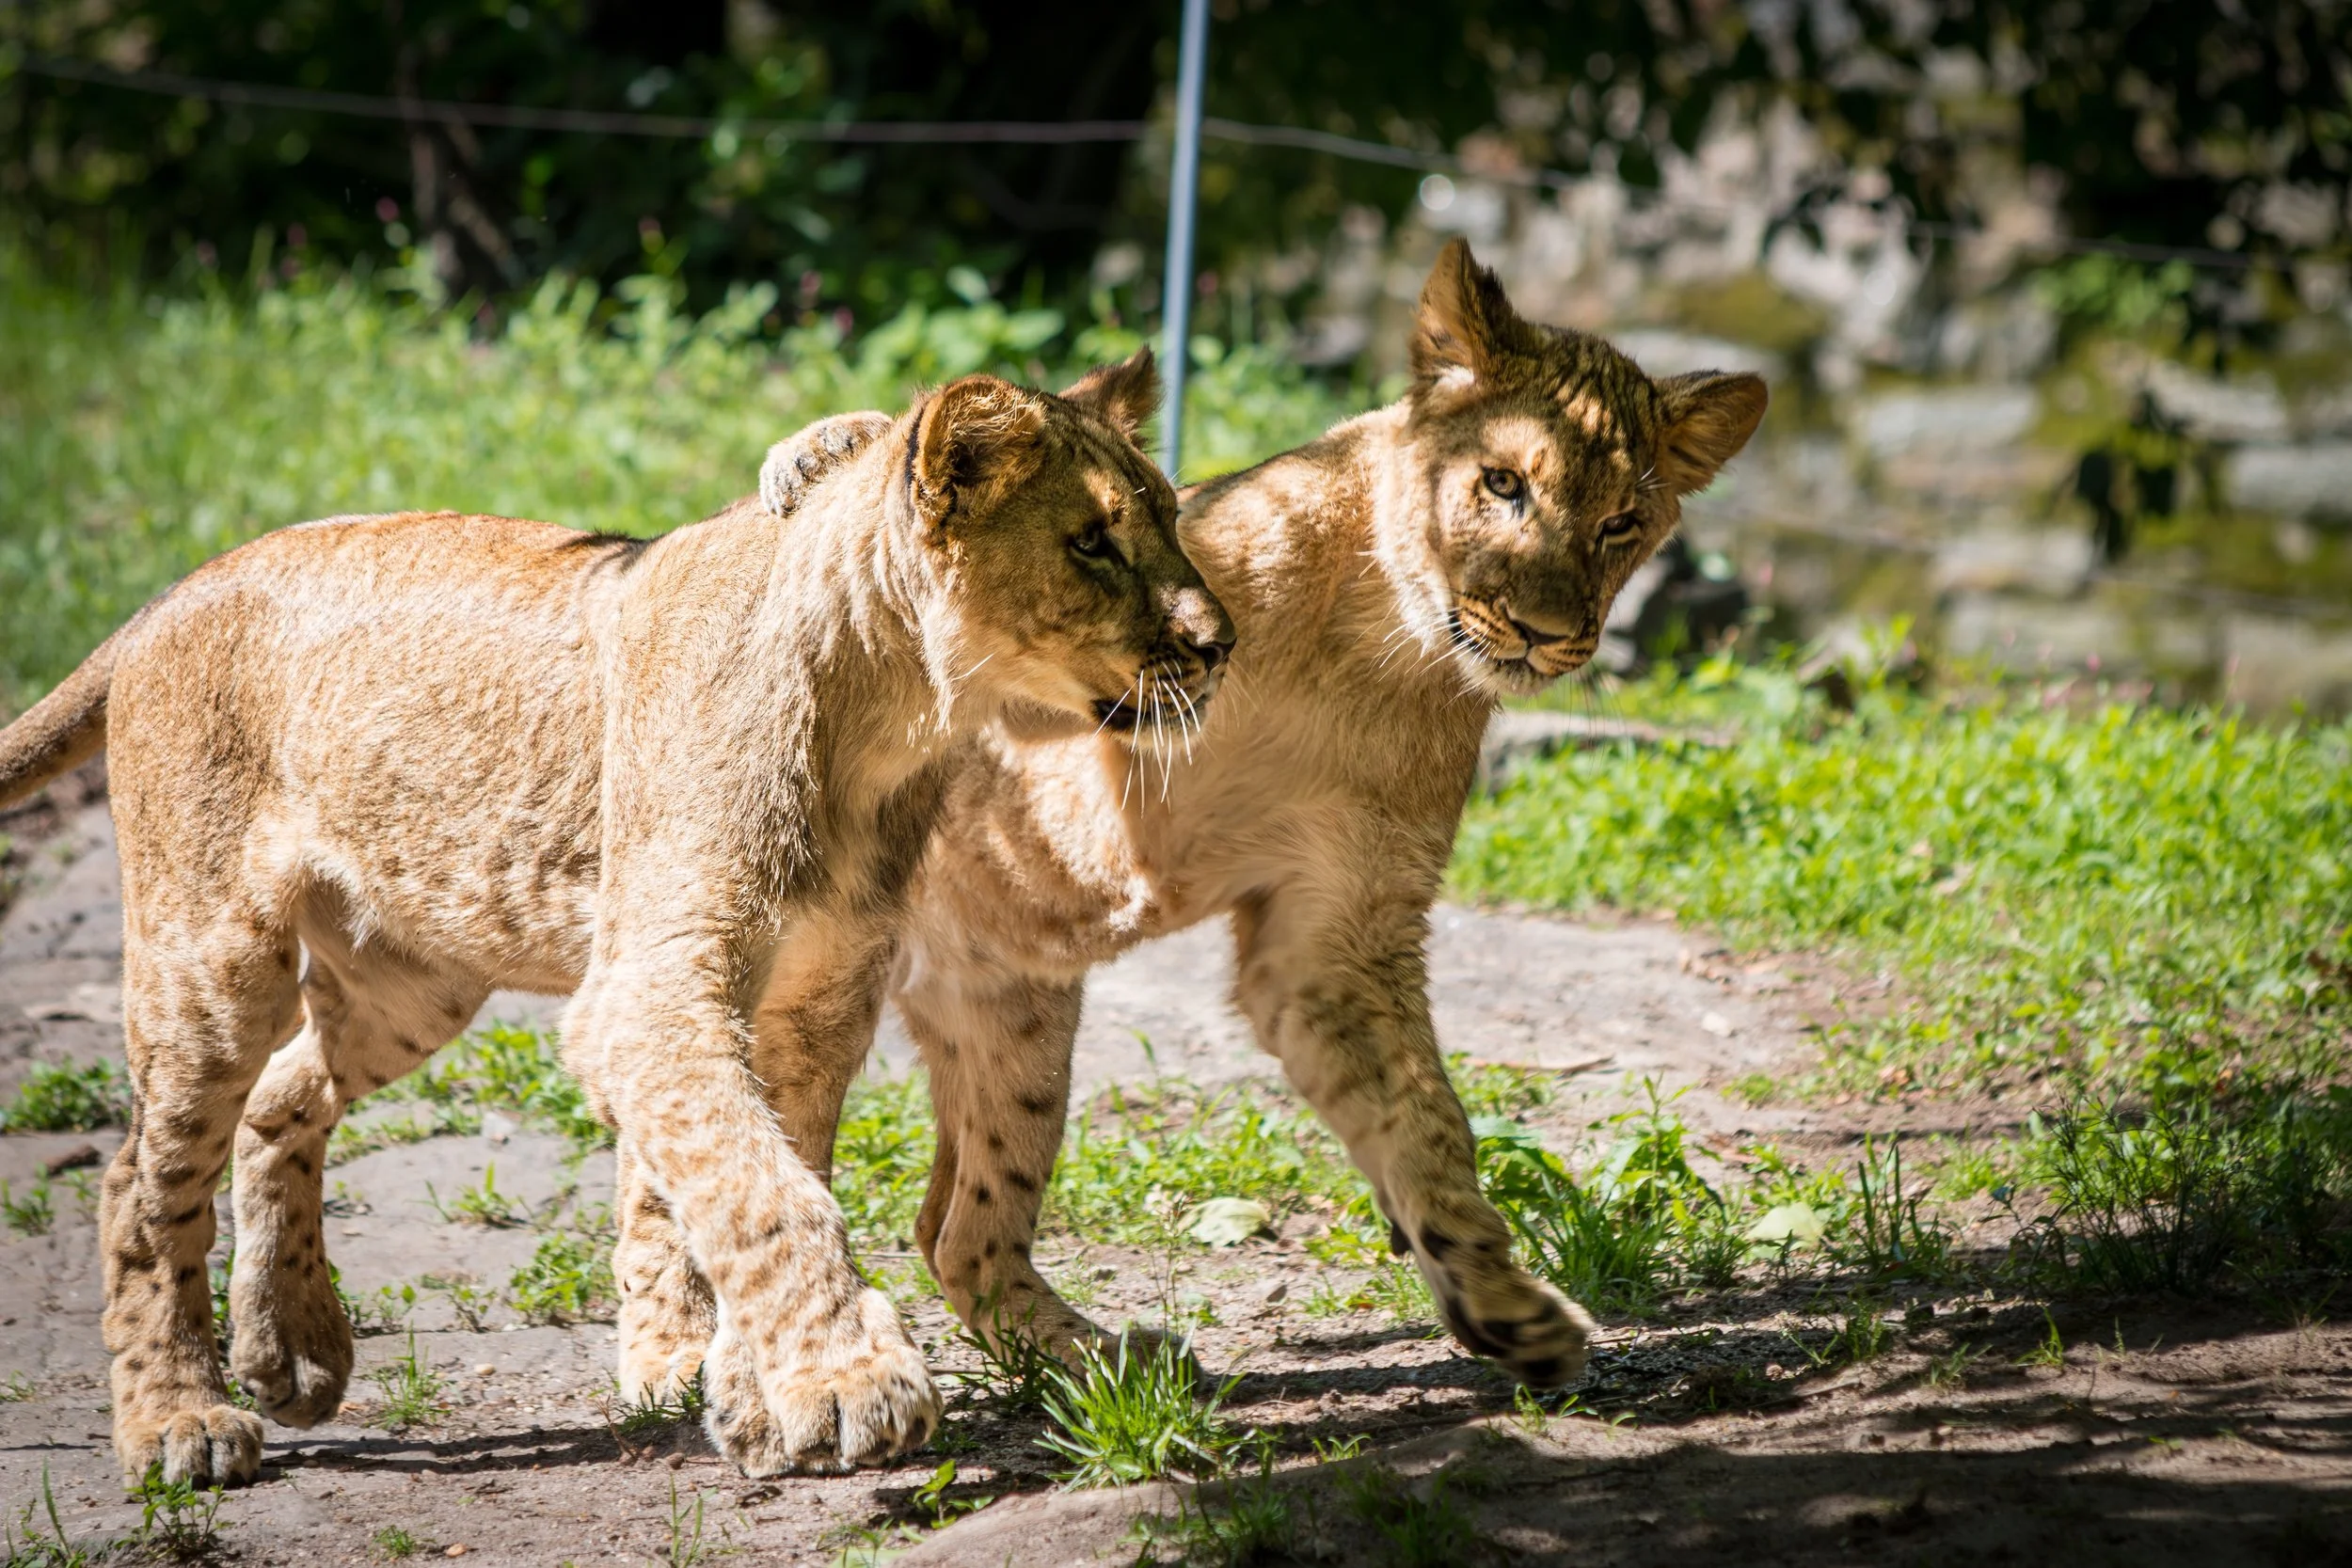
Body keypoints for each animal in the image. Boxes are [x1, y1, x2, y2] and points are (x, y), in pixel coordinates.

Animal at [0, 352, 1231, 1485]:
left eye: (1171, 518)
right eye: (1092, 541)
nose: (1220, 640)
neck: (894, 722)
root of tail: (173, 590)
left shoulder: (816, 996)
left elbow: (759, 1173)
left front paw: (754, 1392)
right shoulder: (652, 984)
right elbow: (762, 1186)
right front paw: (846, 1382)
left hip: (414, 975)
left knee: (279, 1095)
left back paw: (295, 1346)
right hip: (210, 956)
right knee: (140, 1180)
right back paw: (180, 1418)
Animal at [607, 239, 1769, 1407]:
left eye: (1622, 523)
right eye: (1502, 482)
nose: (1540, 632)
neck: (1370, 653)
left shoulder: (1336, 935)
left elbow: (1429, 1123)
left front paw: (1506, 1306)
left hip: (1013, 1010)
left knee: (957, 1229)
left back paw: (1098, 1366)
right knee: (673, 1142)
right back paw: (677, 1351)